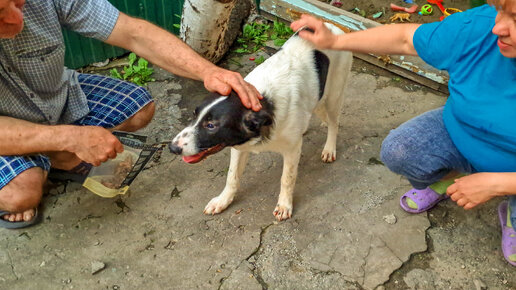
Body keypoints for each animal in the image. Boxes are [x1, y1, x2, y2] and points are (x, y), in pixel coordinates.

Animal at [168, 23, 350, 221]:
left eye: (211, 126)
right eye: (194, 114)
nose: (172, 148)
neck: (264, 103)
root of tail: (333, 26)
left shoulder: (291, 150)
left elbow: (287, 178)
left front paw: (284, 205)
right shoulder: (238, 147)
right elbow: (231, 176)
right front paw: (223, 200)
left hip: (333, 95)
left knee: (334, 123)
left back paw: (329, 148)